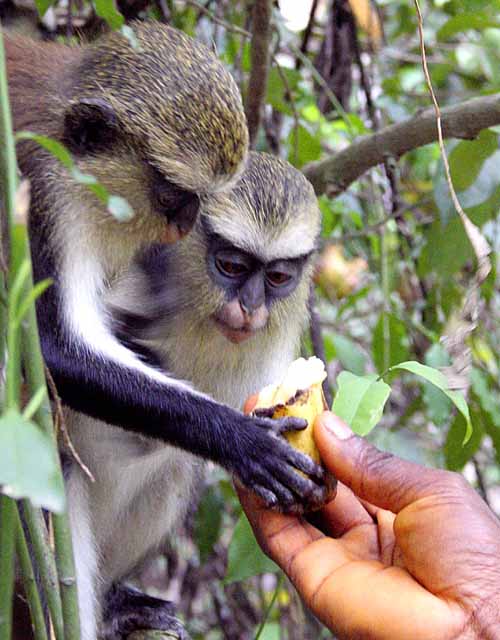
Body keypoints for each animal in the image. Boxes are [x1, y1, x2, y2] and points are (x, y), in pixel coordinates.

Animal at [3, 22, 327, 640]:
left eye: (276, 278)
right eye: (173, 193)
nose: (182, 224)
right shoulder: (41, 192)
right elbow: (51, 352)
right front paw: (241, 440)